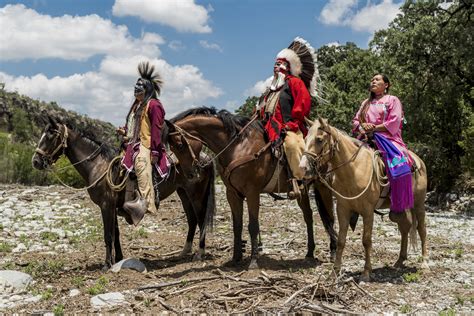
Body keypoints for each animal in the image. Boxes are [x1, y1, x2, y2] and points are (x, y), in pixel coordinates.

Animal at [33, 116, 217, 270]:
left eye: (50, 136)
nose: (35, 161)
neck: (98, 166)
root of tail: (205, 157)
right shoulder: (112, 206)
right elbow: (116, 234)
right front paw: (119, 259)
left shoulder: (106, 206)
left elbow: (108, 235)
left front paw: (106, 264)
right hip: (183, 193)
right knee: (192, 220)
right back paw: (184, 251)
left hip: (196, 194)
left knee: (201, 219)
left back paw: (200, 253)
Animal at [163, 107, 336, 270]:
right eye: (172, 146)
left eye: (179, 145)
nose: (191, 174)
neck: (238, 147)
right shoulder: (232, 193)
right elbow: (237, 225)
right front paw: (236, 258)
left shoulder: (252, 193)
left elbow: (253, 226)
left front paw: (253, 261)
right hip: (304, 192)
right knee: (309, 217)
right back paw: (310, 252)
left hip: (323, 187)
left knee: (329, 217)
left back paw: (333, 250)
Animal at [300, 117, 430, 280]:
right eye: (305, 139)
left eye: (319, 139)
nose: (303, 168)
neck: (354, 169)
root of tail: (419, 161)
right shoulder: (342, 209)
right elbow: (341, 240)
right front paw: (335, 271)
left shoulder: (367, 211)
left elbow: (366, 240)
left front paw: (366, 272)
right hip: (397, 209)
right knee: (405, 226)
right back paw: (399, 261)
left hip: (419, 205)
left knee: (421, 229)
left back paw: (424, 262)